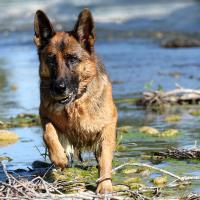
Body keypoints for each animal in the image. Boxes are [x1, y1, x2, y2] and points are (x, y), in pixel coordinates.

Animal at [34, 8, 117, 193]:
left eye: (72, 59)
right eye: (50, 60)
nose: (59, 88)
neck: (75, 104)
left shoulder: (107, 127)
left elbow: (105, 159)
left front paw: (104, 184)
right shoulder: (44, 115)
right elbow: (48, 133)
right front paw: (59, 158)